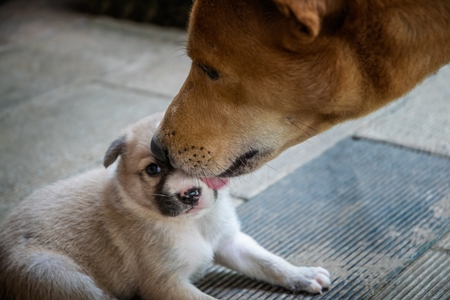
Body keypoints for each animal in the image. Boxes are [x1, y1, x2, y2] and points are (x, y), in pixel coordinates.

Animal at [0, 113, 330, 300]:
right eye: (154, 169)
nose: (191, 195)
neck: (192, 224)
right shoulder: (165, 283)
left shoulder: (230, 242)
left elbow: (267, 261)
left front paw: (302, 275)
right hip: (58, 276)